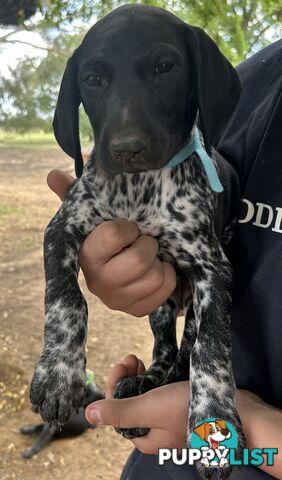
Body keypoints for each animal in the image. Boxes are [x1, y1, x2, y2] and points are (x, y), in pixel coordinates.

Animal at [30, 5, 245, 478]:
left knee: (186, 348)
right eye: (92, 78)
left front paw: (211, 417)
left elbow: (211, 348)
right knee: (165, 348)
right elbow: (65, 300)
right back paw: (146, 380)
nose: (127, 149)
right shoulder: (62, 228)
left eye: (166, 67)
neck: (137, 190)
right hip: (161, 307)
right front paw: (58, 375)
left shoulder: (213, 269)